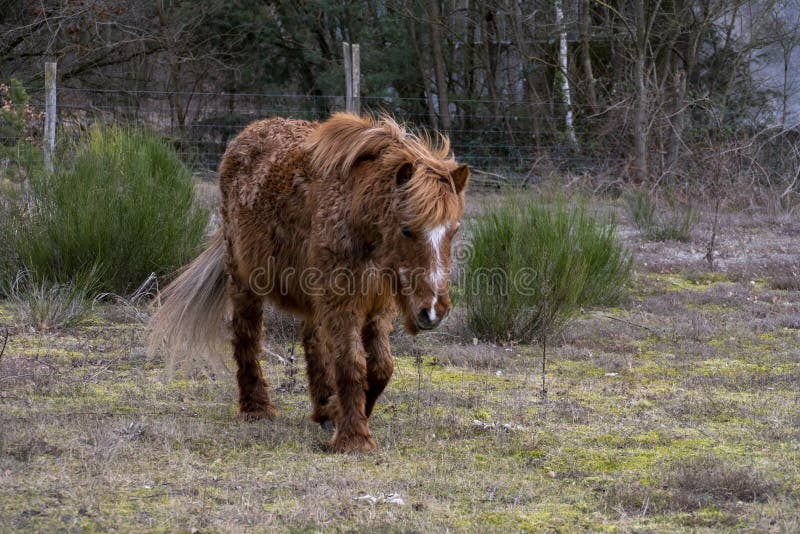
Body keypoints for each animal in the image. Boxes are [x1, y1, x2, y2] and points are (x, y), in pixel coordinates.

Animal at [148, 112, 468, 452]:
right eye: (407, 229)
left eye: (454, 230)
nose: (433, 311)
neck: (354, 210)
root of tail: (245, 136)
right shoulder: (343, 302)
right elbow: (352, 364)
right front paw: (354, 437)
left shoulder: (377, 306)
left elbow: (381, 367)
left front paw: (341, 411)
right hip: (244, 280)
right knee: (246, 336)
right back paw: (256, 408)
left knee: (313, 342)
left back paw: (322, 407)